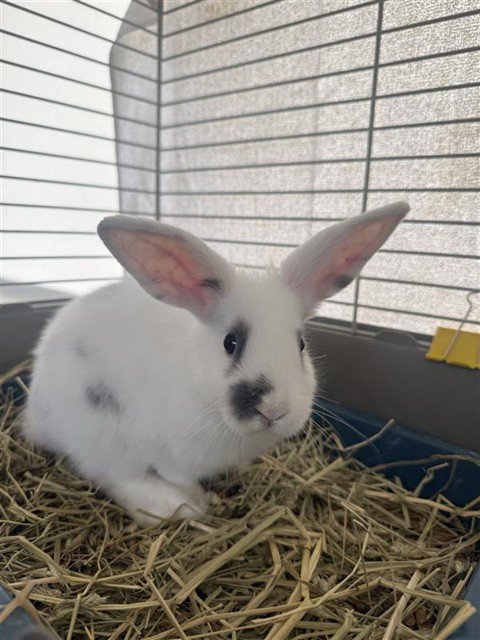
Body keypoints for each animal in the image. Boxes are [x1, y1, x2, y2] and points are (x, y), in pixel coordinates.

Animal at [24, 202, 409, 525]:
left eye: (301, 344)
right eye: (230, 342)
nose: (274, 409)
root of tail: (34, 414)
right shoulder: (171, 457)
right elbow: (177, 477)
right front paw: (200, 500)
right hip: (99, 430)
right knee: (107, 472)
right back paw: (173, 507)